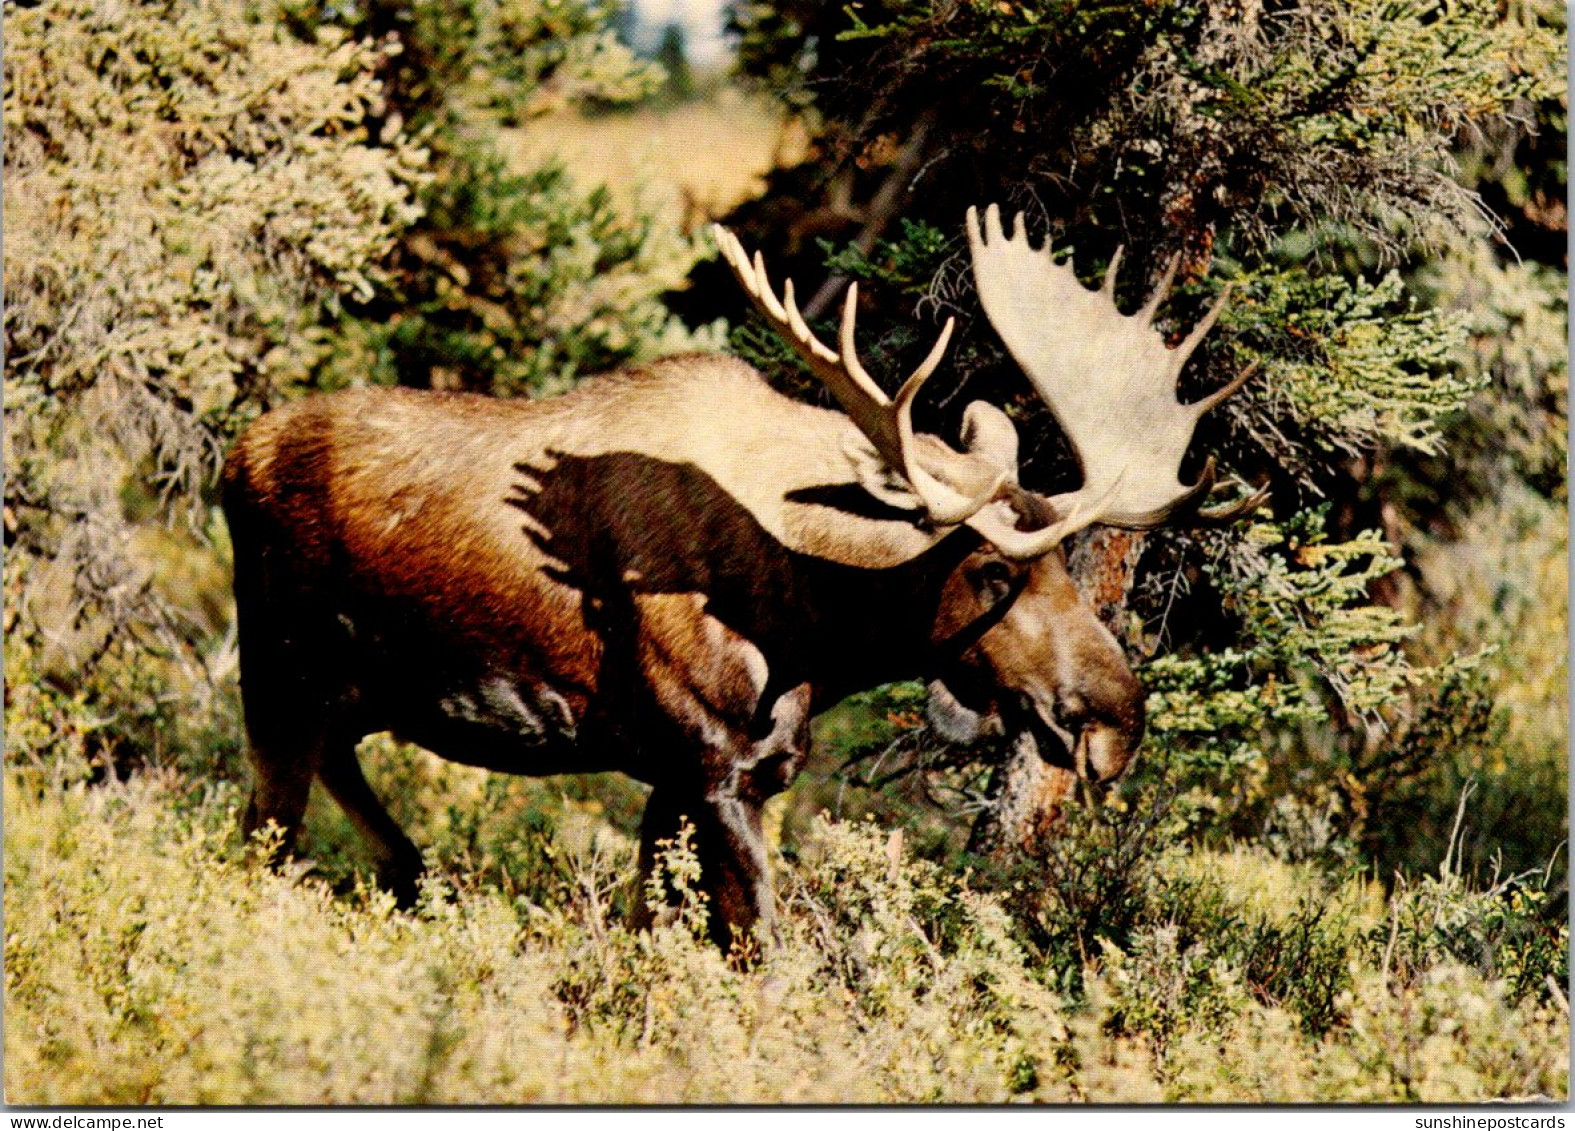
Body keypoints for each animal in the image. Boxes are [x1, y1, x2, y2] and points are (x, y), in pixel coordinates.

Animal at [222, 206, 1260, 945]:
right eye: (993, 569)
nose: (1115, 719)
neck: (818, 629)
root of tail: (234, 455)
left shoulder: (696, 772)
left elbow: (663, 928)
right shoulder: (711, 762)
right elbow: (762, 947)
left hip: (355, 689)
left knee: (333, 769)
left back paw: (411, 871)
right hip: (275, 670)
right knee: (261, 830)